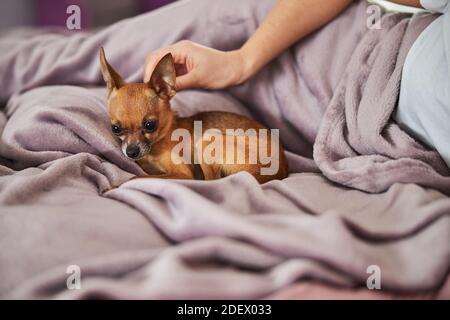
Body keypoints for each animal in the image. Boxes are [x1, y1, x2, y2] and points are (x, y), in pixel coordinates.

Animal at [99, 46, 288, 184]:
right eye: (115, 128)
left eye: (150, 125)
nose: (131, 151)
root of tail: (277, 173)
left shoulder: (182, 173)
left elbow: (138, 177)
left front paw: (116, 186)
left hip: (208, 138)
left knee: (212, 180)